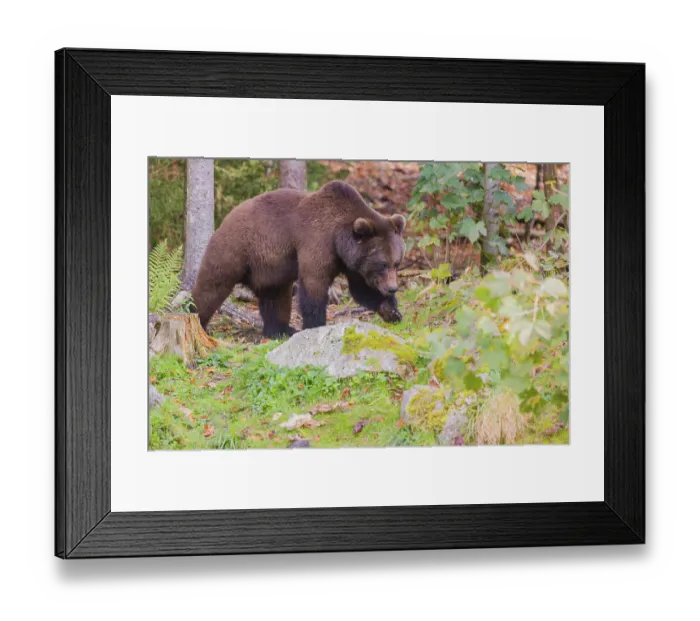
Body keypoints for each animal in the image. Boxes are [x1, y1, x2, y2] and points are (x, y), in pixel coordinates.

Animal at [192, 181, 406, 338]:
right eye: (382, 264)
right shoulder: (317, 242)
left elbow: (361, 288)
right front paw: (315, 325)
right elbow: (314, 286)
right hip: (235, 249)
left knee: (275, 297)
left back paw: (280, 330)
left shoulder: (352, 263)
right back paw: (198, 320)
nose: (392, 288)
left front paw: (391, 311)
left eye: (396, 263)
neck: (339, 240)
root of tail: (226, 218)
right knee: (212, 287)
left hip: (268, 268)